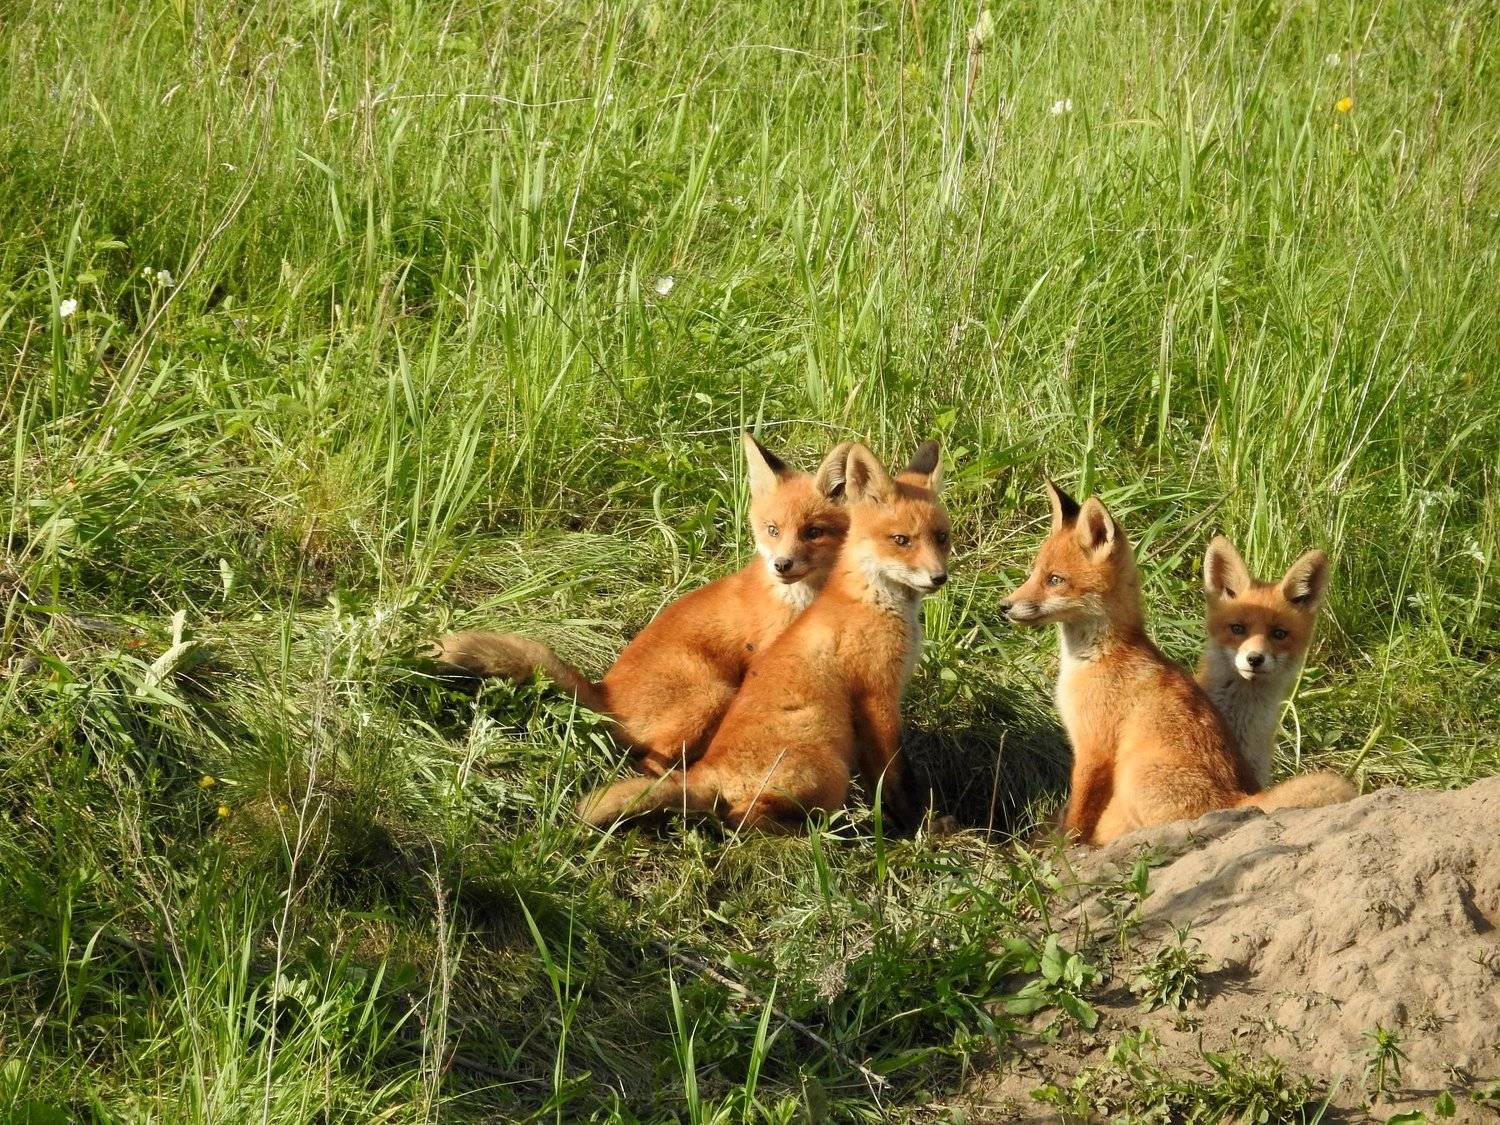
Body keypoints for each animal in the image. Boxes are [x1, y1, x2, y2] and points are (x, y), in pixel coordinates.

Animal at [431, 432, 852, 775]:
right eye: (773, 530)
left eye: (814, 532)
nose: (782, 565)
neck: (802, 599)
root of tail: (606, 695)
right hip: (712, 696)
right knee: (648, 763)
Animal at [576, 440, 951, 834]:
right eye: (901, 540)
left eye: (942, 537)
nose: (939, 578)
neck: (872, 599)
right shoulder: (877, 695)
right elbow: (896, 776)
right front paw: (918, 827)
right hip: (808, 758)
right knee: (738, 815)